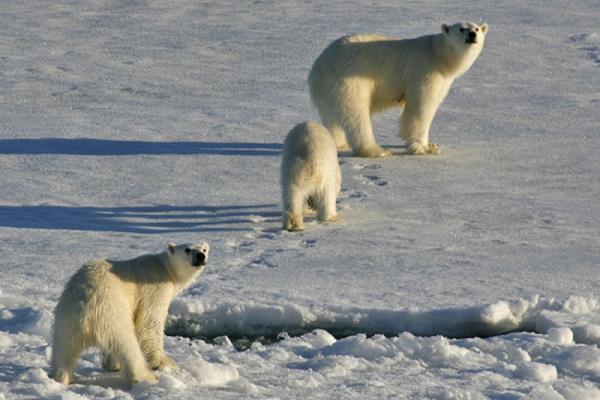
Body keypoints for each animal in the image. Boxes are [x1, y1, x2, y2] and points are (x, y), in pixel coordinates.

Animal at [51, 242, 211, 386]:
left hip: (65, 321)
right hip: (111, 312)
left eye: (204, 249)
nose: (200, 256)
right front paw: (163, 362)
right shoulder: (154, 287)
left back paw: (60, 378)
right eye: (187, 249)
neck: (165, 268)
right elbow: (150, 322)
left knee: (62, 352)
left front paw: (112, 365)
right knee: (126, 344)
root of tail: (84, 309)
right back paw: (146, 376)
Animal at [310, 21, 488, 157]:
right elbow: (421, 107)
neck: (438, 55)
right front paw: (425, 148)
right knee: (356, 114)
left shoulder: (444, 79)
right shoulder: (424, 69)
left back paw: (338, 143)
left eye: (477, 28)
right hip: (349, 80)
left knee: (332, 117)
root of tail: (317, 67)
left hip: (328, 90)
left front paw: (432, 145)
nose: (472, 35)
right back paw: (377, 150)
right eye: (461, 28)